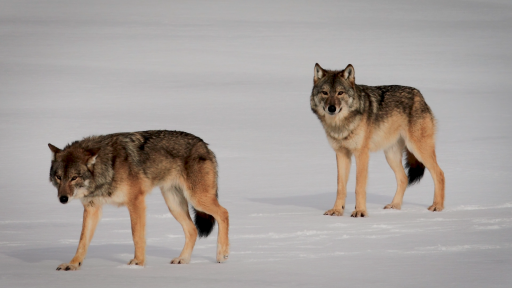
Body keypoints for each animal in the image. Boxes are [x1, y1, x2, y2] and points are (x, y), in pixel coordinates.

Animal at [47, 130, 228, 270]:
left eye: (74, 178)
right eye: (59, 177)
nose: (63, 198)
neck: (108, 168)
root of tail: (203, 144)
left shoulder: (136, 201)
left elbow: (137, 235)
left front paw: (138, 263)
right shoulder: (92, 209)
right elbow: (82, 241)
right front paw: (72, 264)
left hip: (197, 199)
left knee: (224, 213)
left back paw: (222, 254)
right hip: (173, 204)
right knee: (193, 230)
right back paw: (182, 259)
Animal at [310, 63, 446, 216]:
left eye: (340, 93)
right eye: (325, 93)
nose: (332, 108)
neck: (340, 125)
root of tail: (419, 95)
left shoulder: (362, 154)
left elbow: (359, 186)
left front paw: (360, 212)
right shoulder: (341, 153)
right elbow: (340, 187)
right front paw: (337, 211)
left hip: (418, 149)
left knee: (440, 174)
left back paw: (437, 206)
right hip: (391, 155)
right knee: (404, 178)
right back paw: (394, 205)